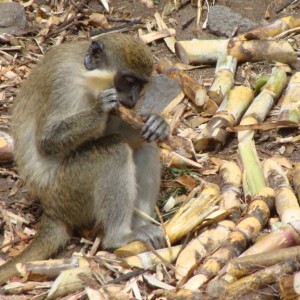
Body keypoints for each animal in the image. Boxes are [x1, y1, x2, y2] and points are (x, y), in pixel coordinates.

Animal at [0, 34, 169, 284]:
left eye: (140, 83)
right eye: (128, 80)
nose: (132, 98)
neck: (83, 70)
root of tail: (51, 209)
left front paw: (156, 122)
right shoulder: (64, 84)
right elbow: (46, 141)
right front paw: (100, 109)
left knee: (144, 146)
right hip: (70, 189)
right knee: (114, 150)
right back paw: (119, 237)